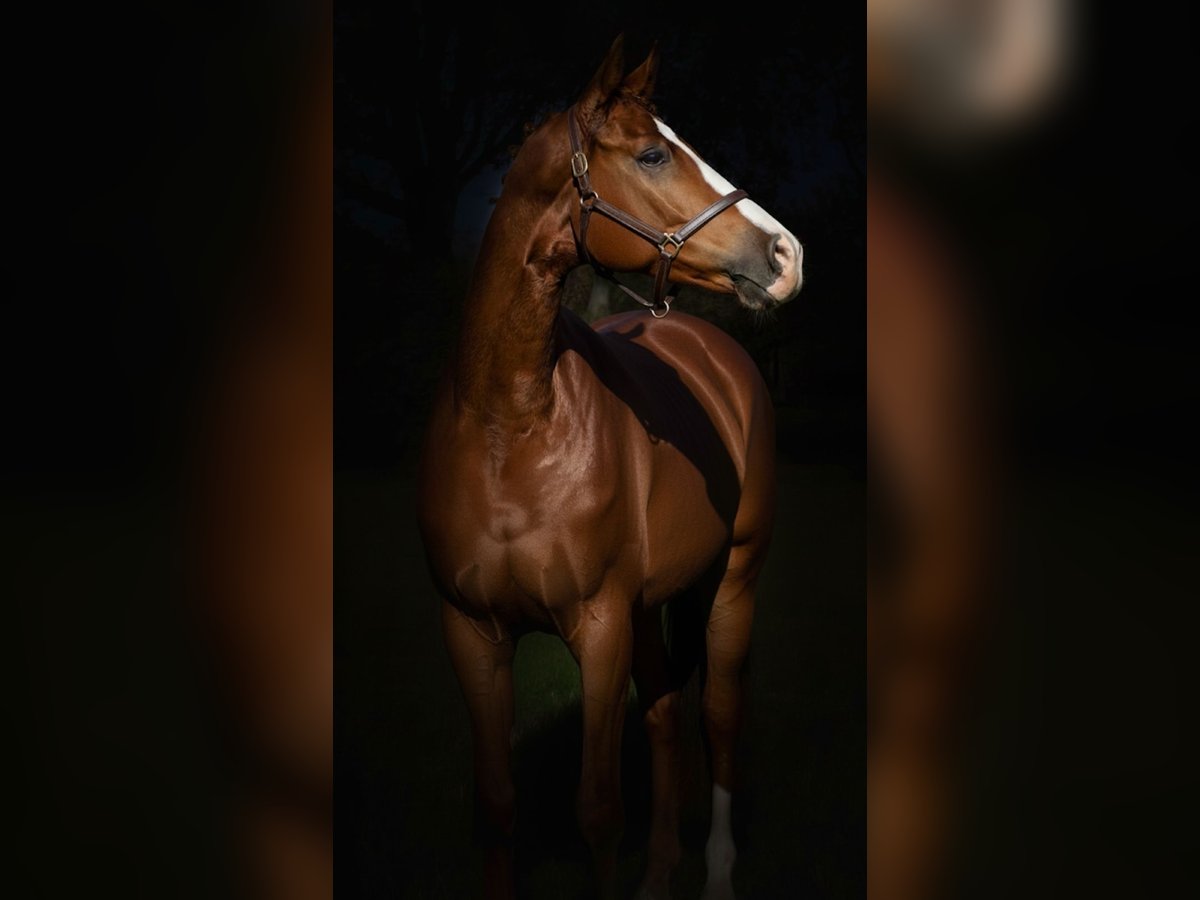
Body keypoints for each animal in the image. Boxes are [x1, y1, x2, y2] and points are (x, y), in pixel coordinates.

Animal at [417, 36, 803, 899]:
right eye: (654, 153)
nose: (787, 254)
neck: (511, 428)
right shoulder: (472, 633)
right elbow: (498, 803)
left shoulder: (597, 628)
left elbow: (597, 809)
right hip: (651, 607)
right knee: (662, 715)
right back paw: (659, 874)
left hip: (732, 582)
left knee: (716, 718)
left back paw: (715, 875)